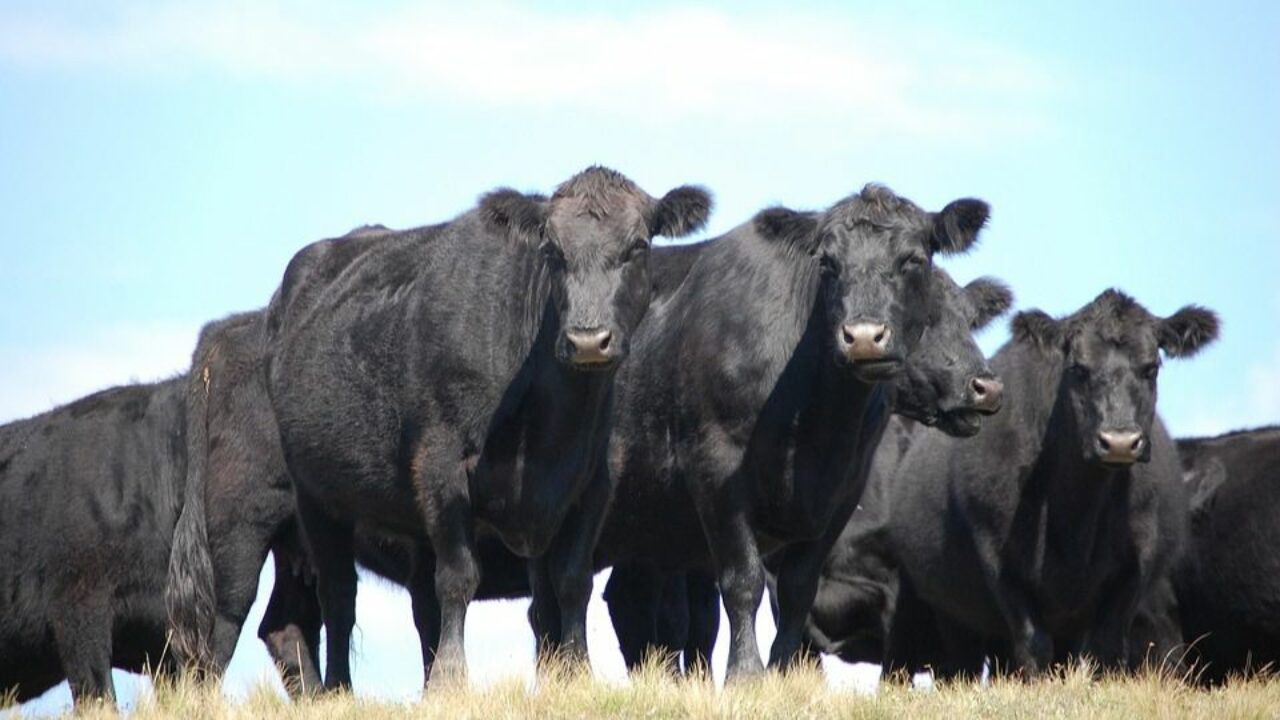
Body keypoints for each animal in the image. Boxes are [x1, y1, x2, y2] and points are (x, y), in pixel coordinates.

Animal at [259, 165, 711, 686]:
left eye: (637, 246)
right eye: (552, 251)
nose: (588, 340)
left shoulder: (591, 481)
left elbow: (570, 581)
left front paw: (576, 672)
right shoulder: (442, 464)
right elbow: (460, 577)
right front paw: (453, 676)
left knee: (421, 602)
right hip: (315, 495)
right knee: (338, 595)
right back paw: (338, 687)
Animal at [885, 286, 1213, 671]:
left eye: (1151, 368)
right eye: (1078, 368)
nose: (1119, 442)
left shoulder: (1136, 563)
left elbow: (1106, 645)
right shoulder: (1000, 557)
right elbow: (1033, 644)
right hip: (951, 613)